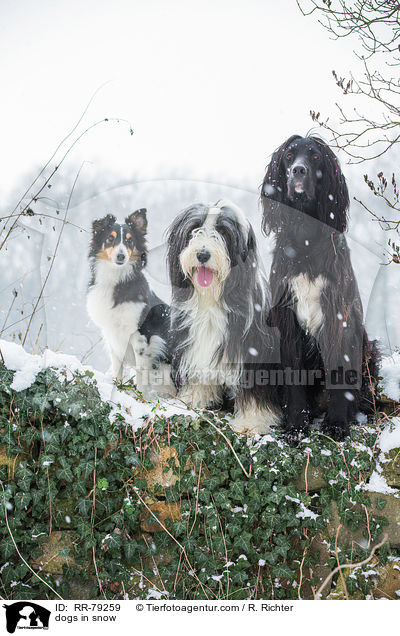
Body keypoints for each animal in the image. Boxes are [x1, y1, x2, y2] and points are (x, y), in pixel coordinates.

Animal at [86, 209, 171, 398]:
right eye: (110, 239)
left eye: (130, 241)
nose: (121, 256)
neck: (118, 280)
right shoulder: (112, 334)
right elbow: (117, 367)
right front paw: (117, 388)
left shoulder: (141, 336)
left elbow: (141, 372)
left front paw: (141, 397)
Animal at [166, 200, 282, 438]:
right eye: (194, 228)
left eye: (223, 231)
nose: (202, 254)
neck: (212, 301)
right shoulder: (195, 344)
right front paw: (191, 400)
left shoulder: (255, 353)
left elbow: (255, 391)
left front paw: (251, 422)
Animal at [260, 136, 380, 440]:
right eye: (289, 156)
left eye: (314, 157)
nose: (298, 171)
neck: (306, 240)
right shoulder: (286, 320)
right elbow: (293, 375)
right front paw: (295, 425)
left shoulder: (340, 315)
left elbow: (339, 369)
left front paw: (336, 423)